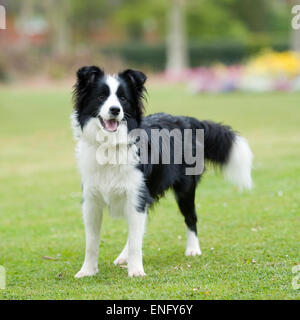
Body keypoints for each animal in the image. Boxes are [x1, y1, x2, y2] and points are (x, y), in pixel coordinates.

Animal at [71, 67, 253, 278]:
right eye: (101, 96)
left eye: (123, 98)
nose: (115, 110)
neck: (110, 145)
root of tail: (188, 120)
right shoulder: (92, 200)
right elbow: (92, 242)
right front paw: (87, 271)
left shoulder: (136, 194)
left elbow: (136, 240)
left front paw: (136, 271)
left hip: (184, 189)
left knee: (190, 217)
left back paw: (193, 249)